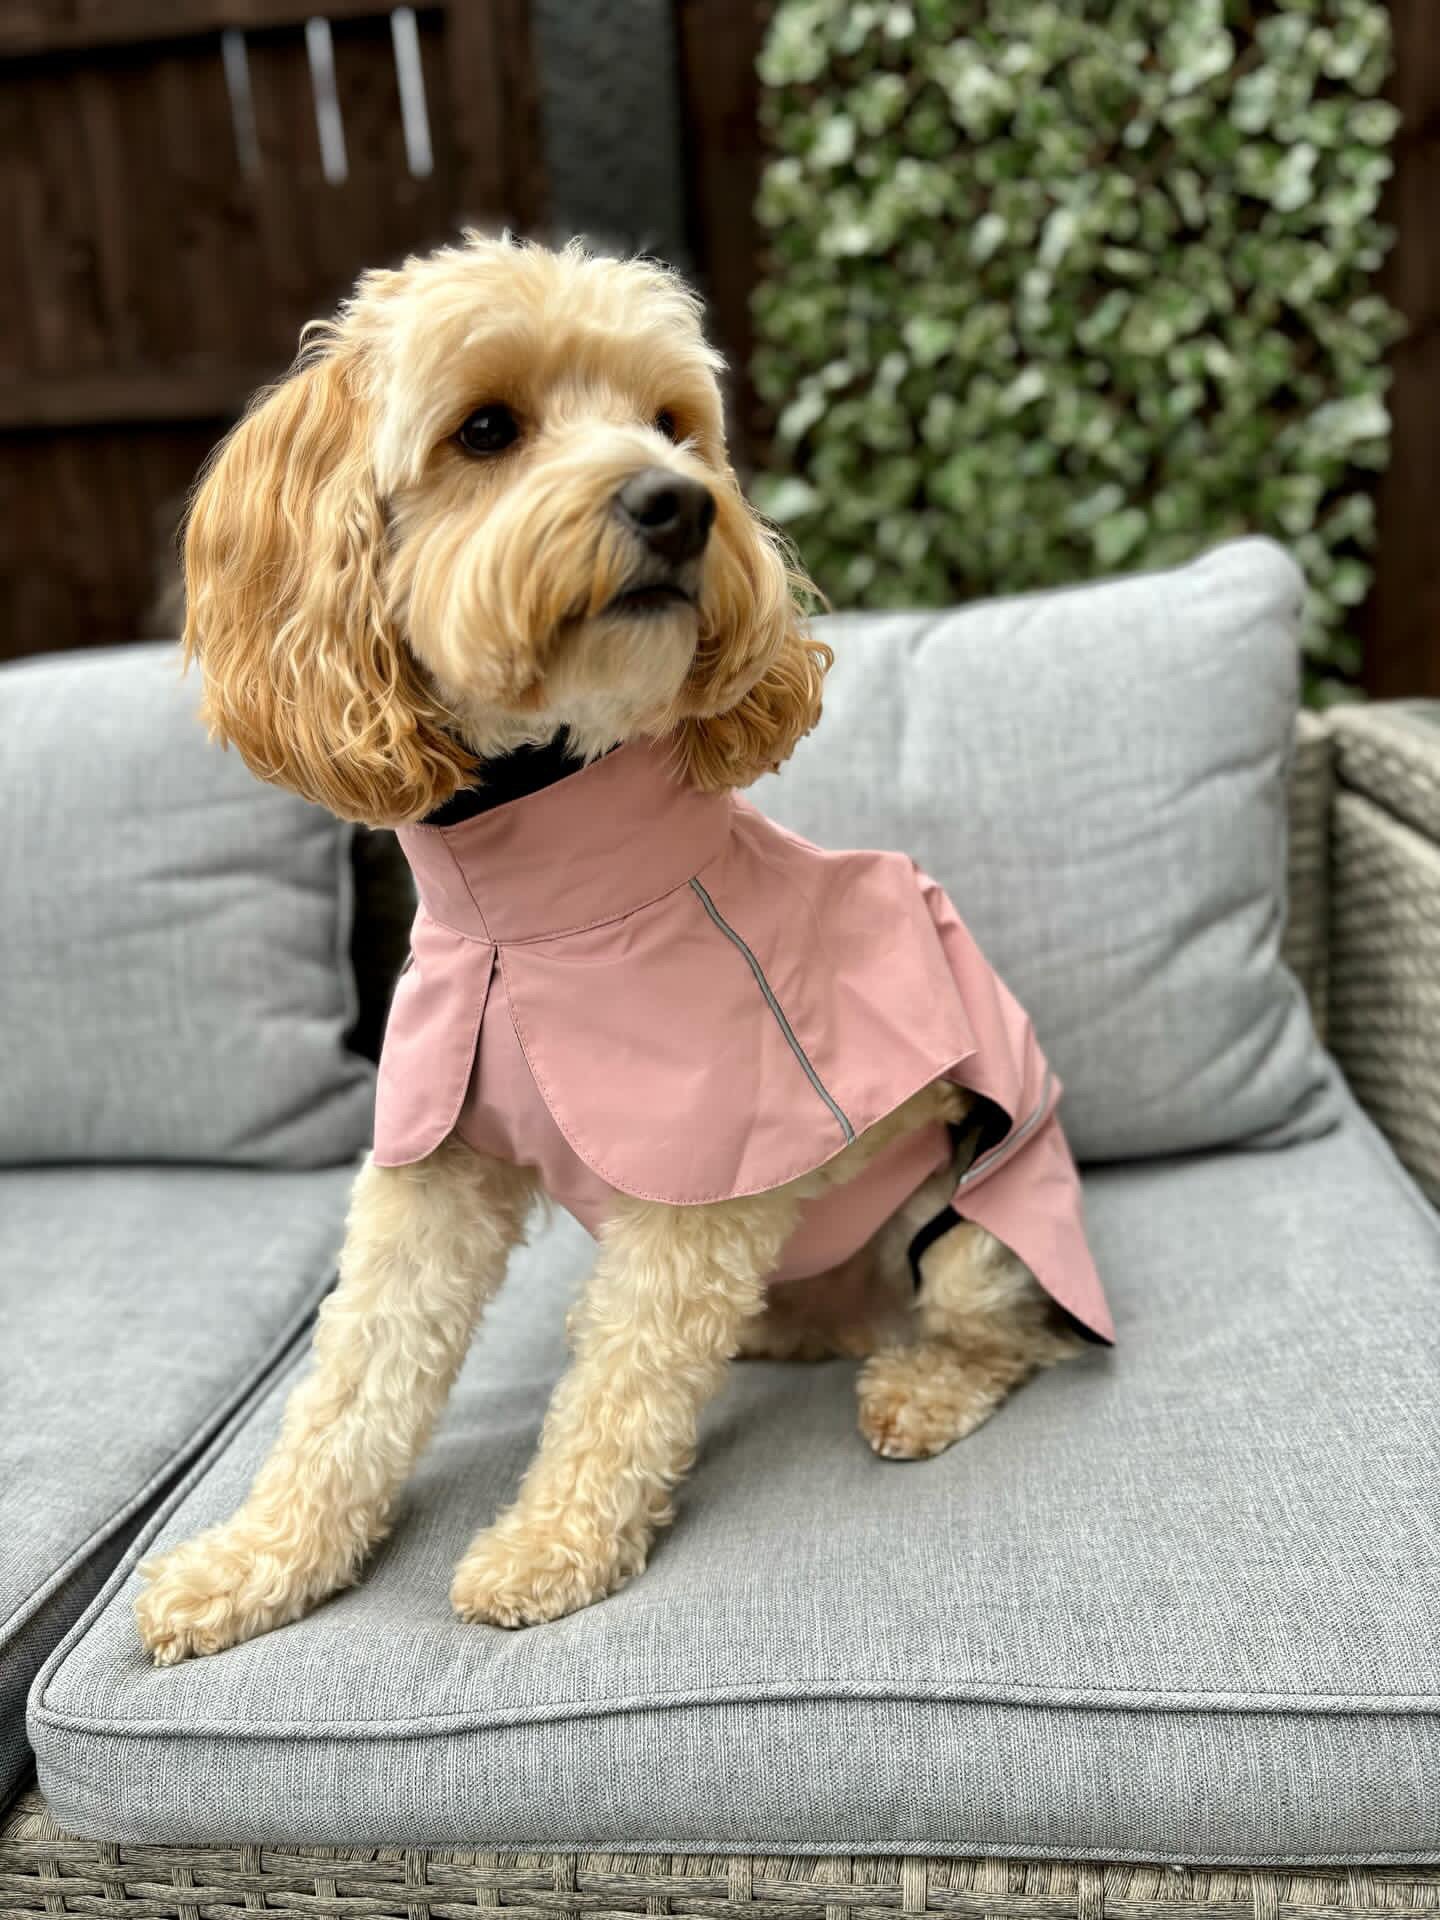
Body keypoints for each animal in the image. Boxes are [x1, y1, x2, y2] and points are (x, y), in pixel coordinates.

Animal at [135, 232, 1113, 1658]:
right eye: (486, 428)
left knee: (1010, 1338)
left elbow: (624, 1387)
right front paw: (257, 1560)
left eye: (672, 424)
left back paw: (919, 1389)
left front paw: (550, 1550)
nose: (679, 504)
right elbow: (356, 1377)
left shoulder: (696, 1192)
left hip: (974, 1234)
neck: (535, 908)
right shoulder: (432, 1168)